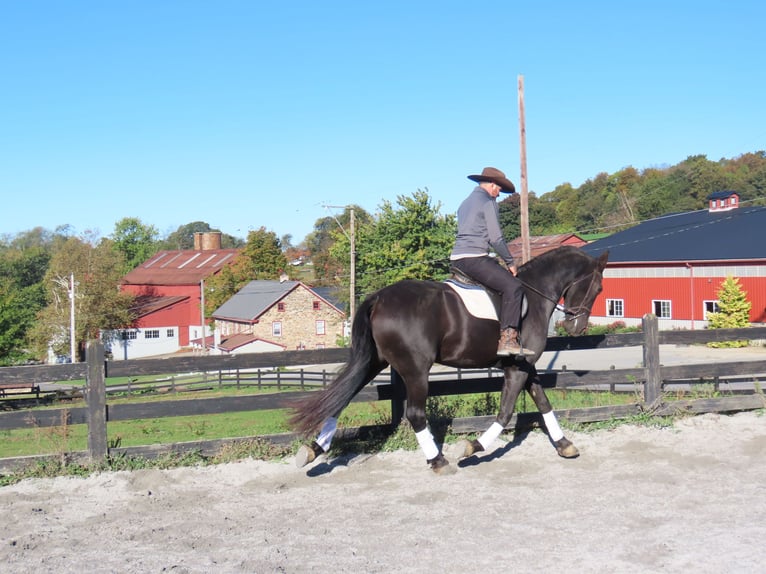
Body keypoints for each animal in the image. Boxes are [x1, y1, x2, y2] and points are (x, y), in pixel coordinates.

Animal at [290, 245, 609, 474]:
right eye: (598, 288)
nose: (576, 328)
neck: (533, 293)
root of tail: (379, 298)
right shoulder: (517, 368)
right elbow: (506, 412)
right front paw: (472, 446)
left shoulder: (523, 364)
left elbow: (543, 401)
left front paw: (565, 445)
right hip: (416, 370)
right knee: (415, 413)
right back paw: (438, 461)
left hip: (374, 361)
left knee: (339, 399)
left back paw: (313, 449)